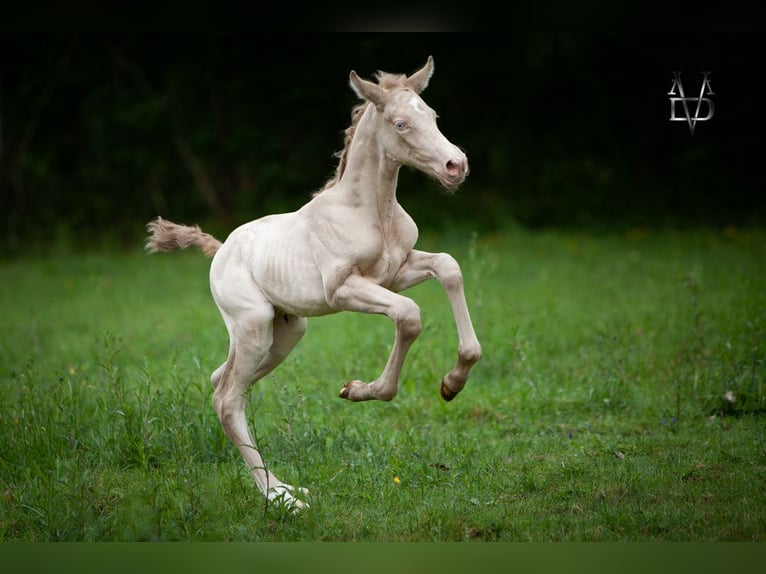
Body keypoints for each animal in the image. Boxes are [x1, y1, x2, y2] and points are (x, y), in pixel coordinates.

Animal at [145, 56, 482, 511]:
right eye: (399, 124)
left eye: (432, 115)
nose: (455, 166)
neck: (371, 212)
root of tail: (221, 249)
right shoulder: (343, 289)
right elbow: (409, 315)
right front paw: (358, 390)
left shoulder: (396, 272)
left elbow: (449, 267)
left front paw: (452, 383)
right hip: (252, 326)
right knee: (227, 398)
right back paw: (280, 498)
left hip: (284, 334)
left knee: (224, 383)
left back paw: (285, 487)